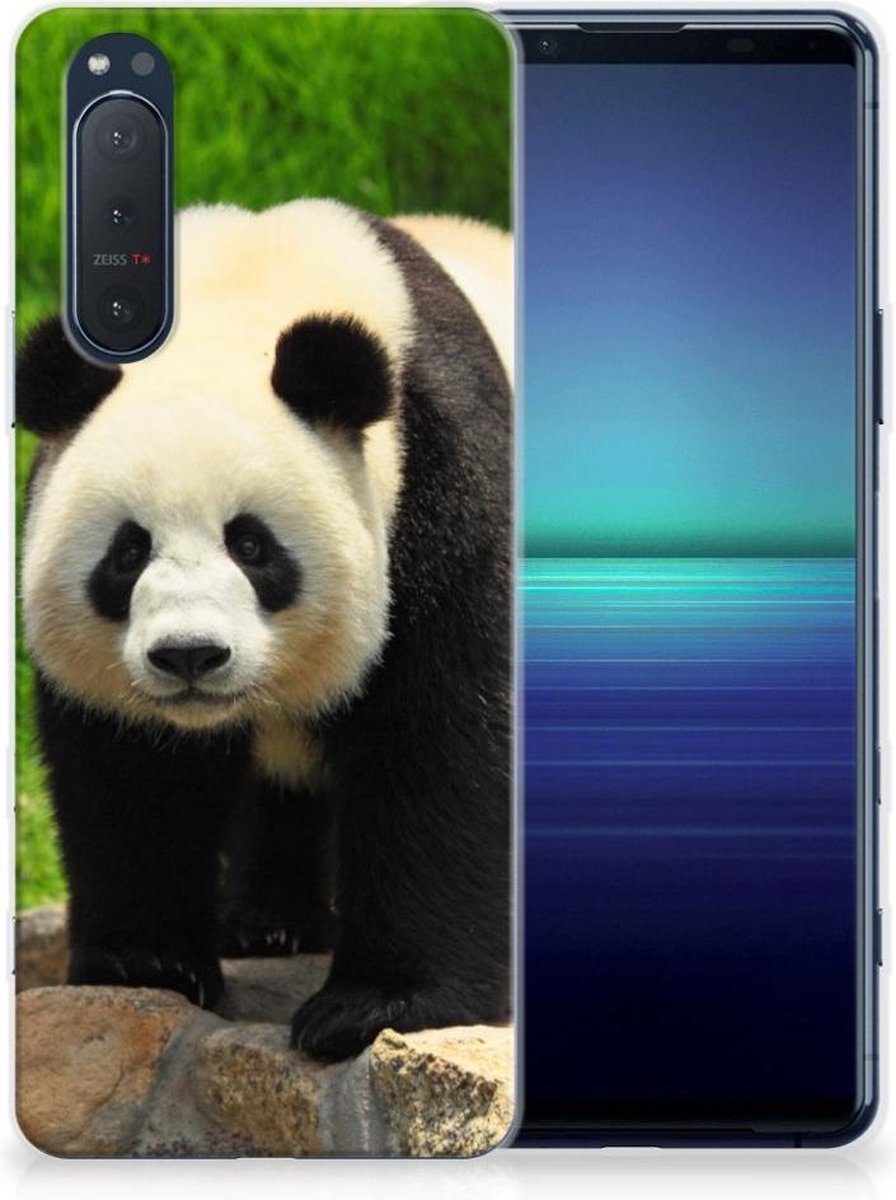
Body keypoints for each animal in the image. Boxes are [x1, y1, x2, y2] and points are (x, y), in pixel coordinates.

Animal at [16, 199, 512, 1062]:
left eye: (251, 545)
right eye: (128, 552)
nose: (189, 655)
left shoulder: (444, 484)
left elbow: (441, 743)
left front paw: (377, 1003)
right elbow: (129, 772)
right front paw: (148, 961)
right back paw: (271, 924)